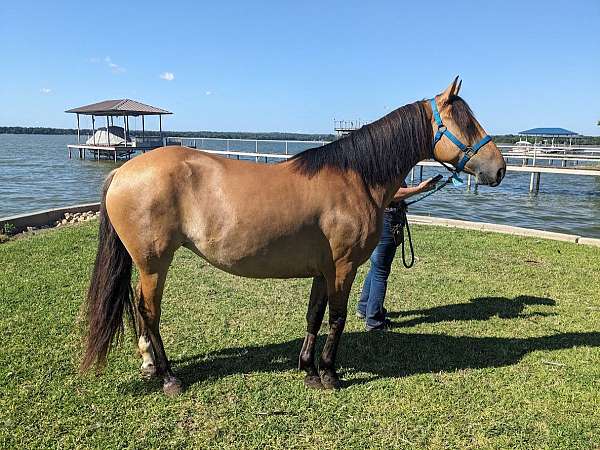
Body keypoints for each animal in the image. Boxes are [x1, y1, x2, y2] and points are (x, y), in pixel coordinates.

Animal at [81, 77, 506, 394]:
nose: (499, 169)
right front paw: (330, 374)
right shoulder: (344, 267)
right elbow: (336, 318)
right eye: (467, 123)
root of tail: (122, 171)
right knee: (149, 312)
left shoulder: (322, 269)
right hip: (154, 263)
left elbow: (314, 316)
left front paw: (308, 370)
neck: (354, 178)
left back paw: (151, 365)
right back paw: (169, 376)